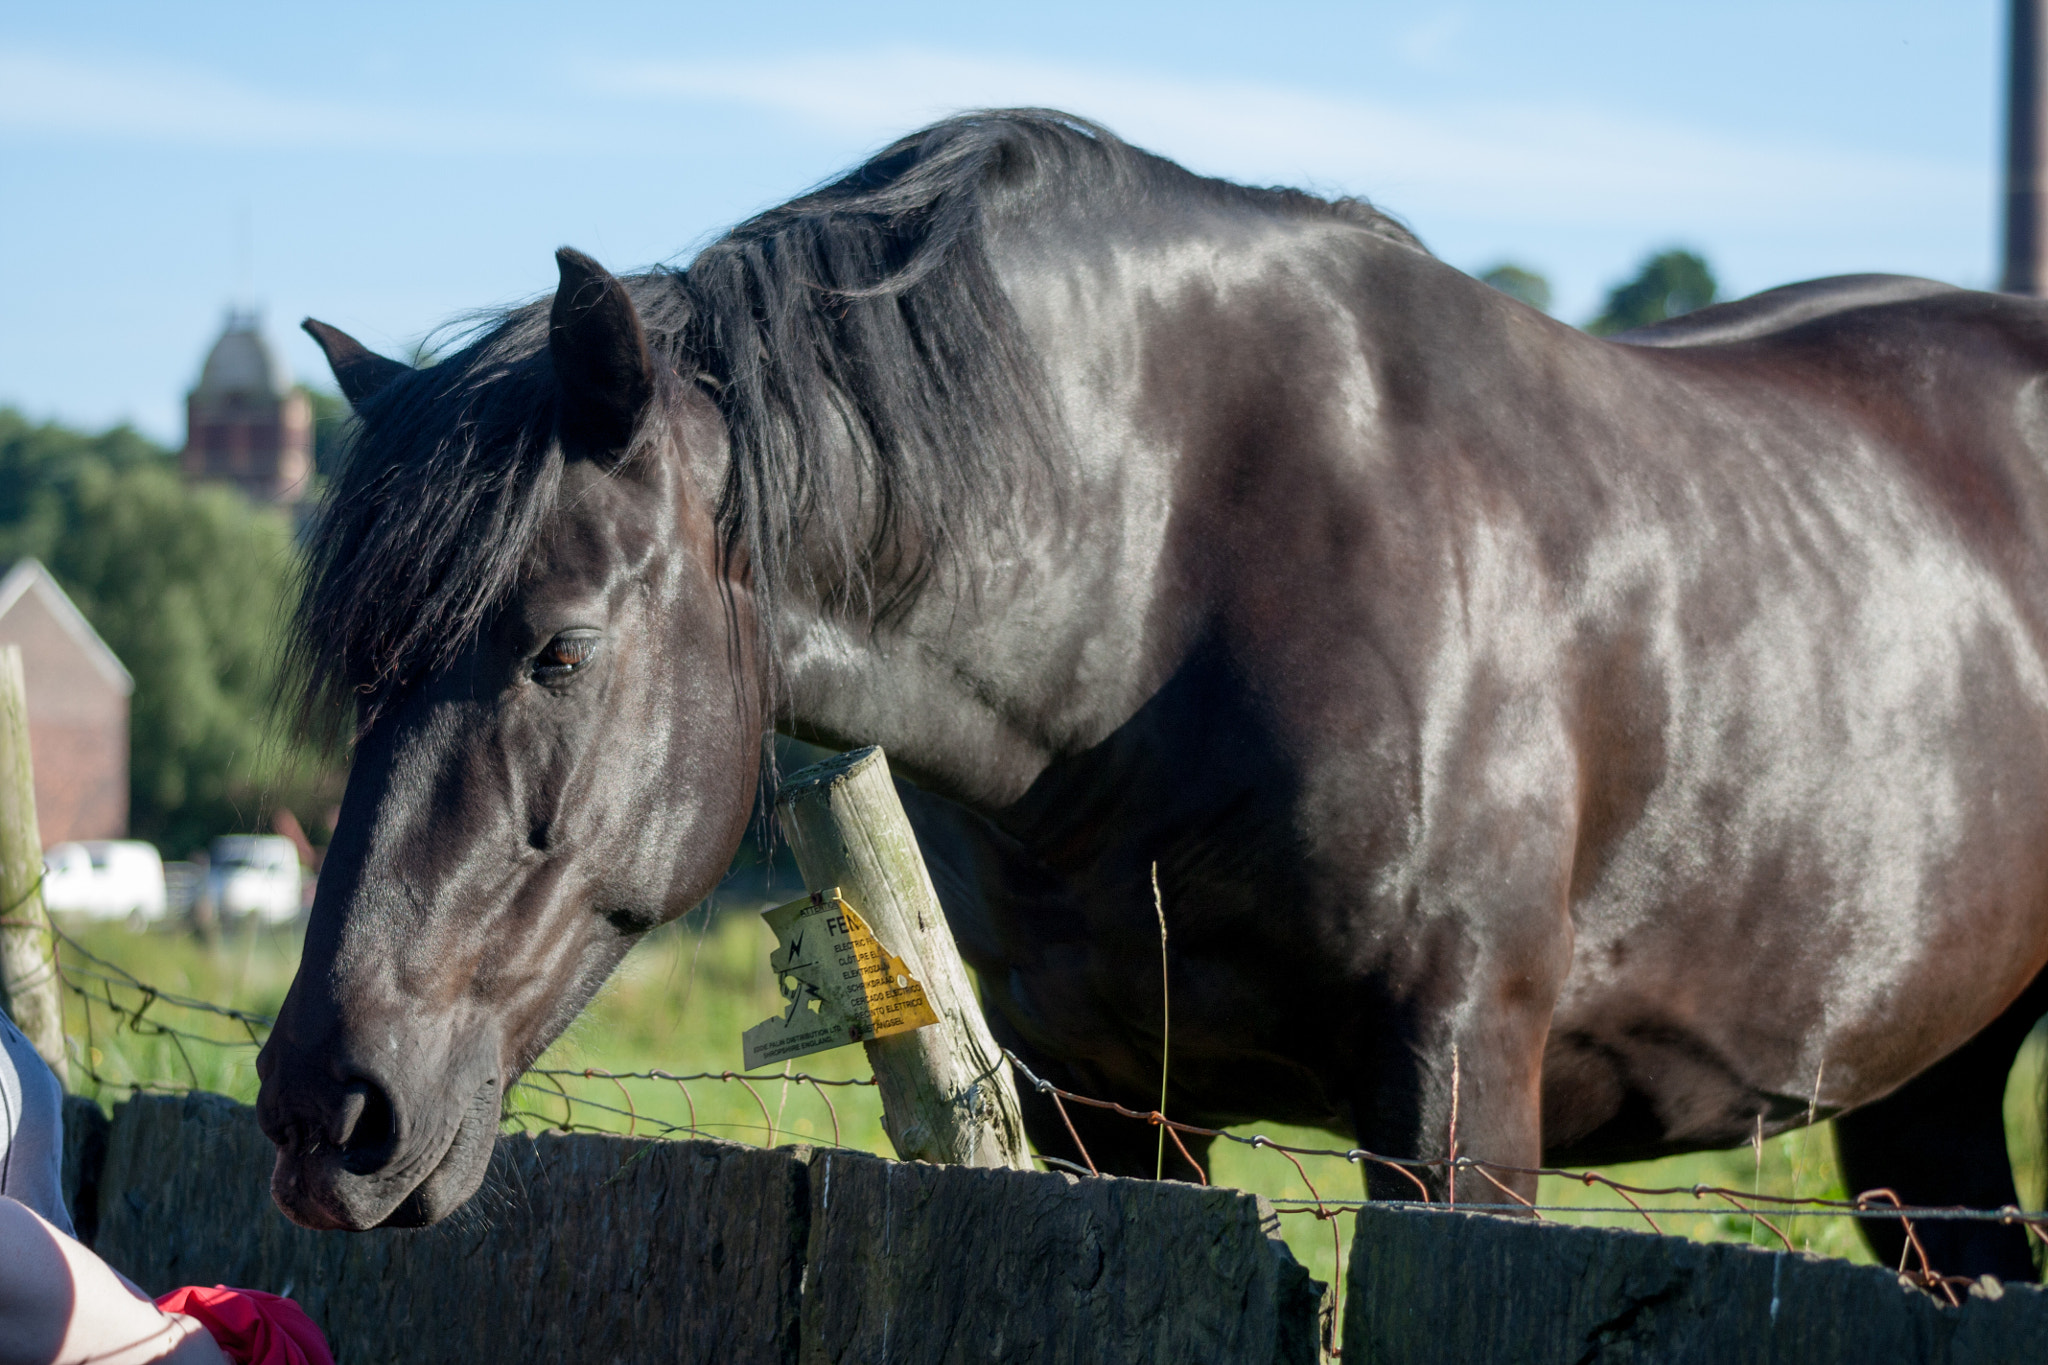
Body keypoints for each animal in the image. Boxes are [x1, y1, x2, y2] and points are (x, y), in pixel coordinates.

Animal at [256, 106, 2048, 1285]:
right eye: (361, 674)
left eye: (560, 647)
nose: (325, 1112)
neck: (1177, 580)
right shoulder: (1107, 1105)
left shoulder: (1459, 1097)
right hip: (1929, 1112)